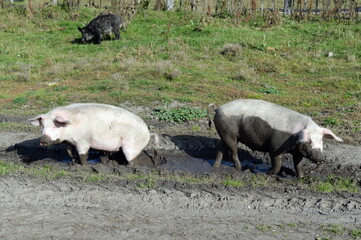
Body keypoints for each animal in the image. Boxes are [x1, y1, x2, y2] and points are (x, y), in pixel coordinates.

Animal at [207, 99, 342, 178]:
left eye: (321, 140)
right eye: (309, 141)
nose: (321, 159)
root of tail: (218, 108)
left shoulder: (298, 152)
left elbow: (298, 164)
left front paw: (301, 177)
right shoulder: (275, 146)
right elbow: (277, 162)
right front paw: (269, 173)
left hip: (224, 134)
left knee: (220, 148)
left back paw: (216, 166)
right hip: (229, 133)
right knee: (233, 151)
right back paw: (239, 169)